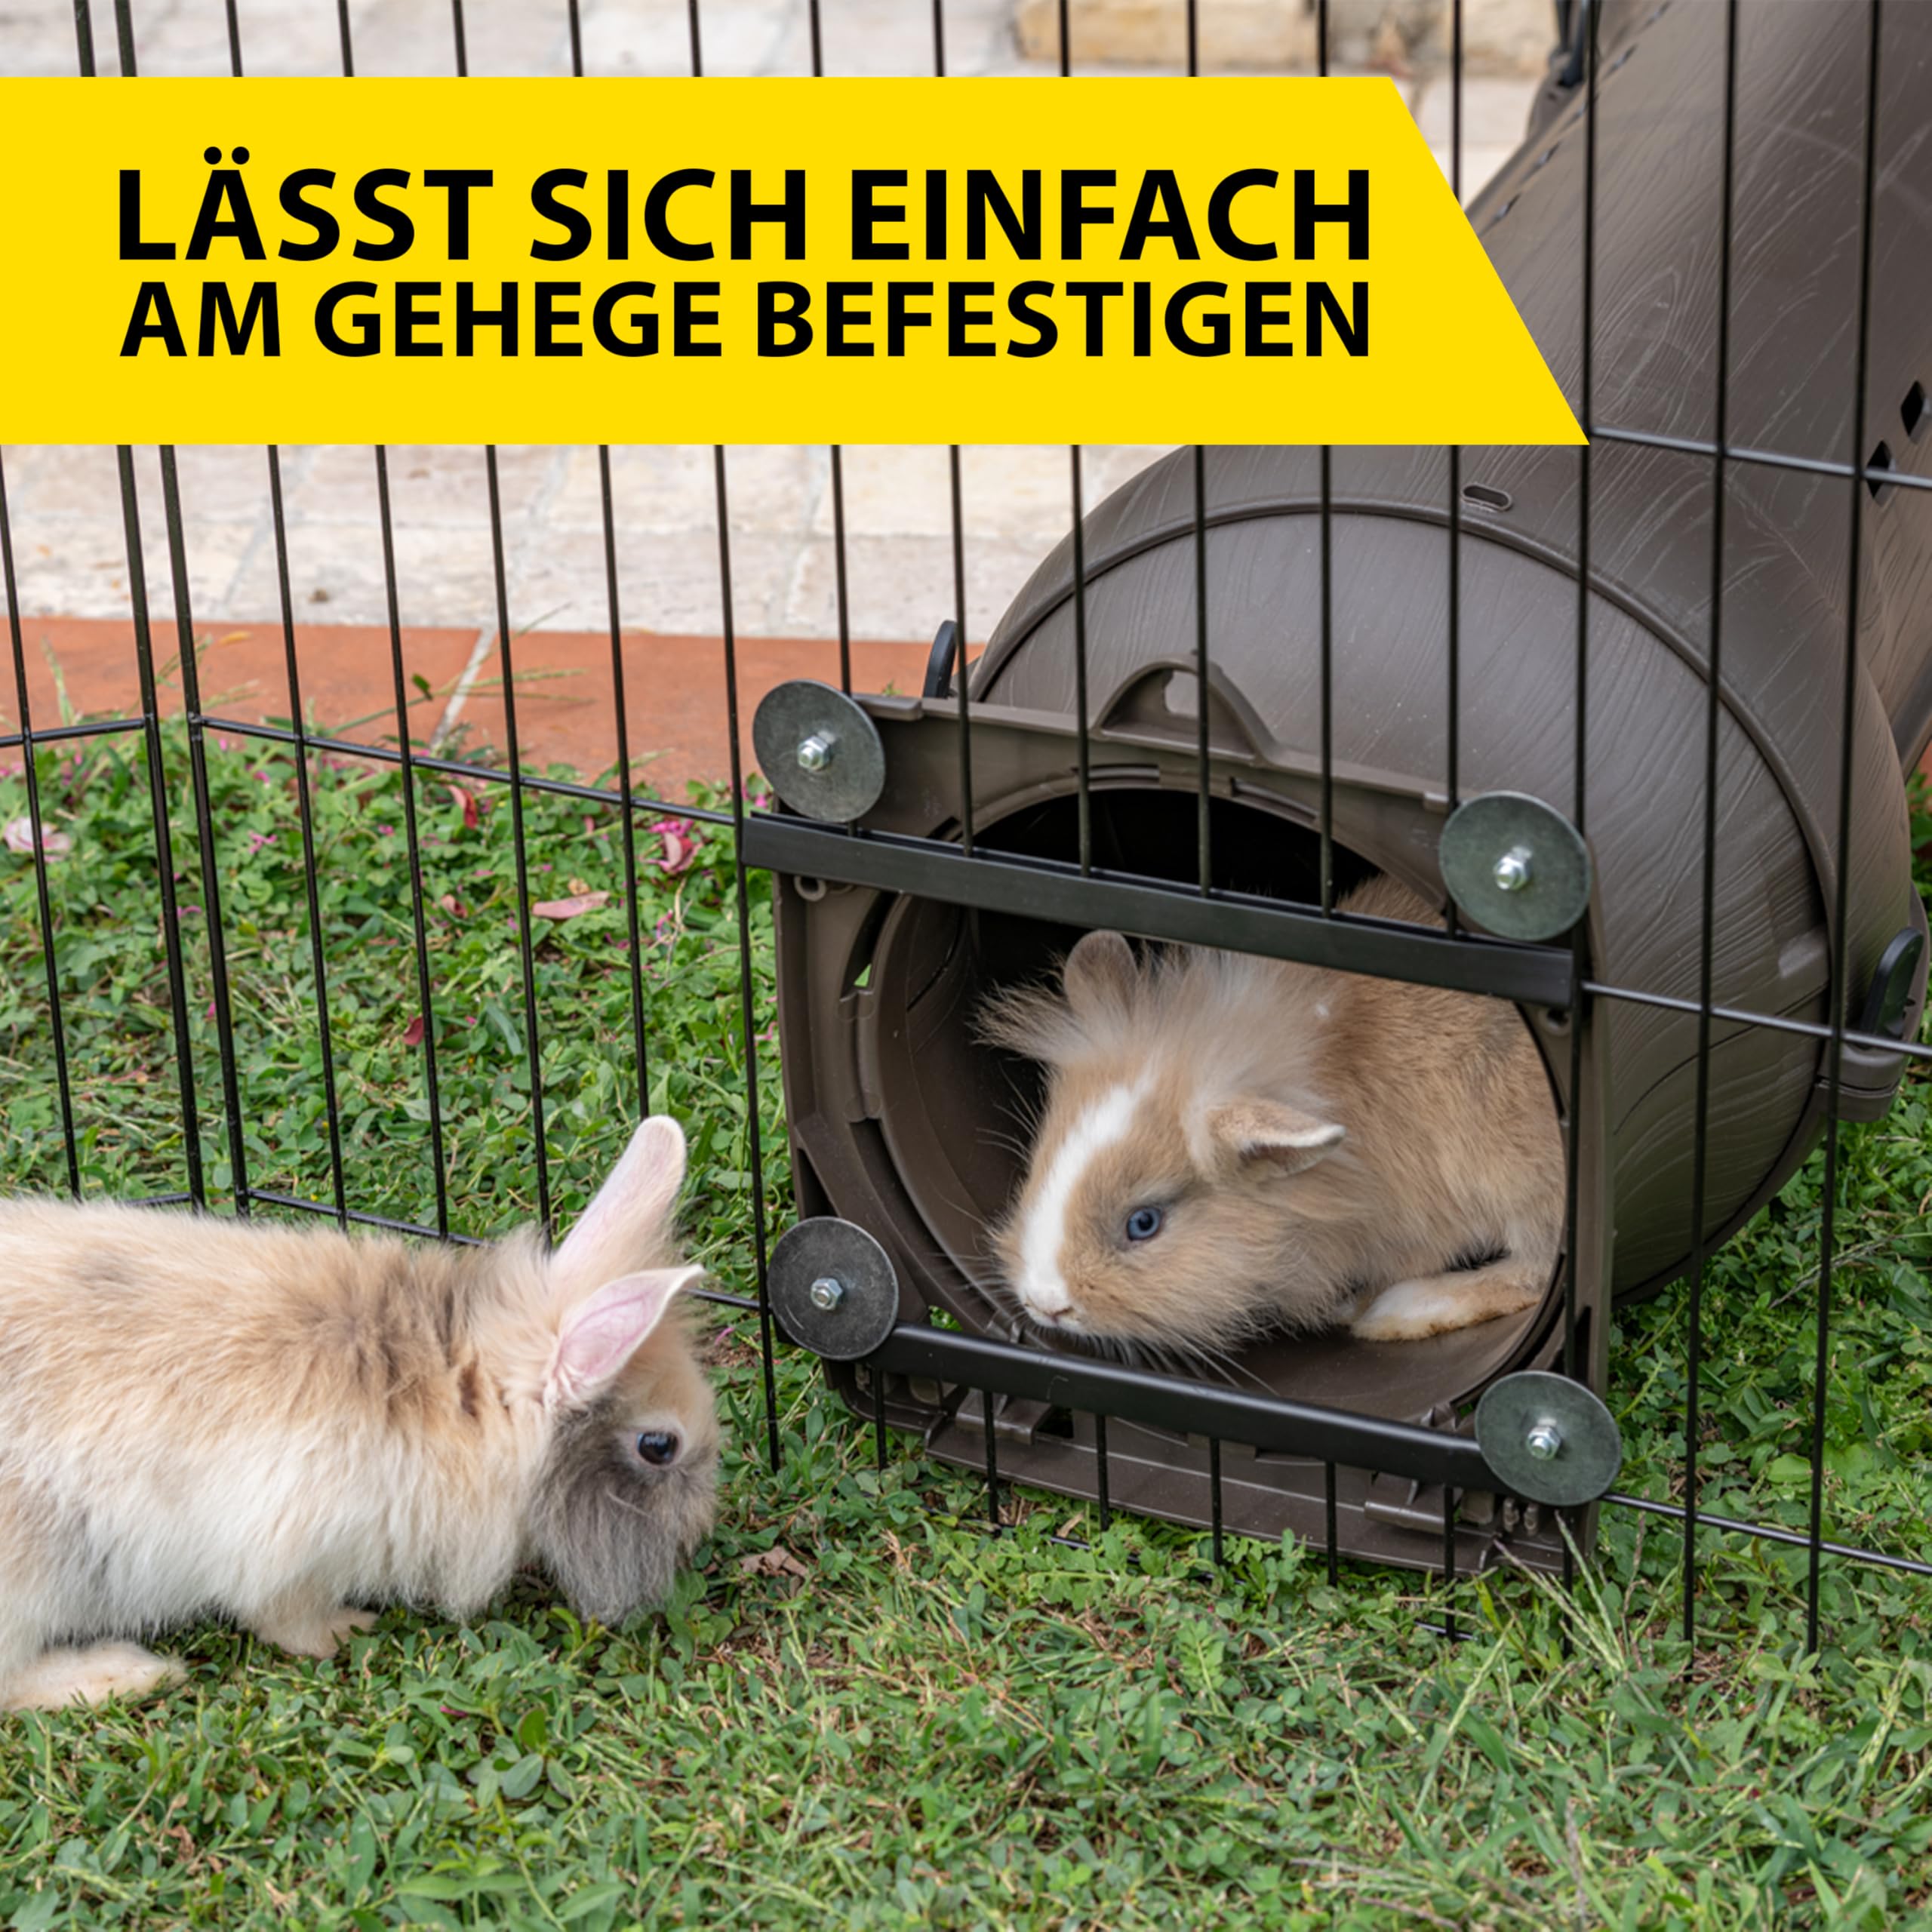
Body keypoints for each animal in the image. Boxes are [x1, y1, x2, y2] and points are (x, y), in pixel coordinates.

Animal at [0, 1114, 719, 1713]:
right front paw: (348, 1631)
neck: (450, 1377)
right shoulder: (282, 1543)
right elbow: (286, 1619)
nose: (700, 1532)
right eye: (660, 1446)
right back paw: (128, 1674)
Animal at [979, 874, 1564, 1360]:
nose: (1045, 1304)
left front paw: (1357, 1308)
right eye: (1037, 1172)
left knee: (1533, 1271)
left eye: (1143, 1223)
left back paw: (1397, 1312)